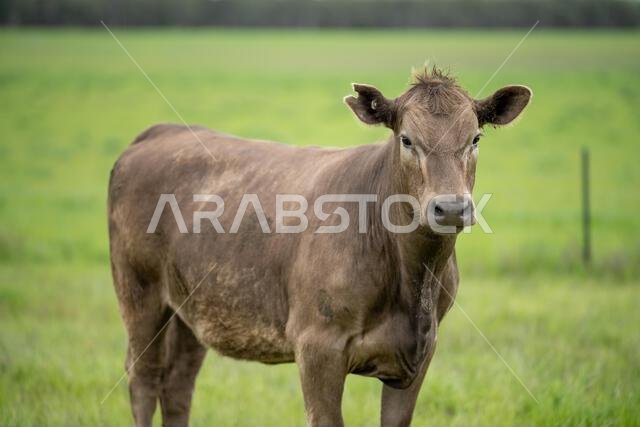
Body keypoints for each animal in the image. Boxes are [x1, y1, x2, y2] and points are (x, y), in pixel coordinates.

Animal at [107, 68, 531, 427]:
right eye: (407, 139)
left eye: (475, 138)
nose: (451, 207)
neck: (412, 285)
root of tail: (162, 131)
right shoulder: (316, 347)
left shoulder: (419, 353)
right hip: (139, 291)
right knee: (143, 377)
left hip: (190, 307)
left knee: (178, 382)